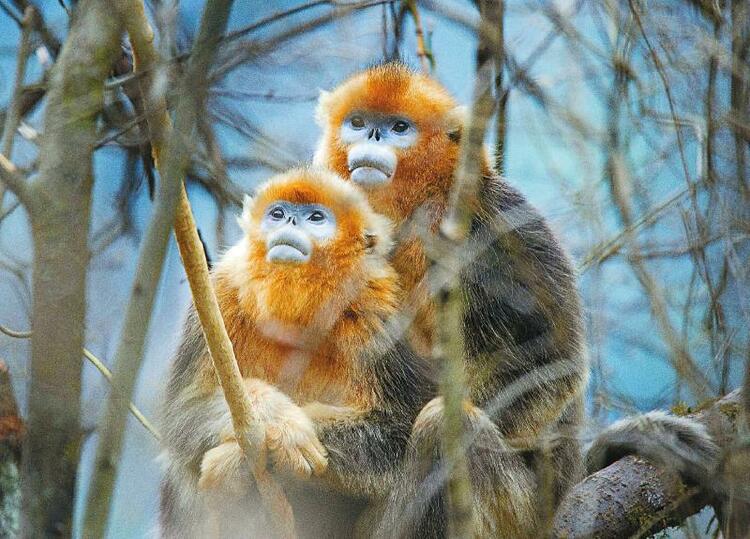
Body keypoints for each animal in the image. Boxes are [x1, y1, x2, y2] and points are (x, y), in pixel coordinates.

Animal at [162, 170, 438, 539]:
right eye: (277, 213)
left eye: (316, 217)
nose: (289, 221)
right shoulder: (222, 291)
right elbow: (182, 412)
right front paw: (279, 422)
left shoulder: (380, 309)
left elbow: (398, 430)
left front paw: (241, 460)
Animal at [314, 62, 592, 536]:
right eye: (358, 122)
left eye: (399, 128)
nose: (373, 136)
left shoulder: (497, 216)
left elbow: (555, 357)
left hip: (519, 511)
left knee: (445, 422)